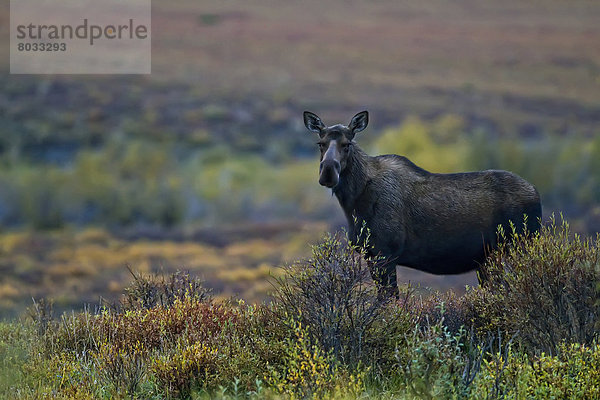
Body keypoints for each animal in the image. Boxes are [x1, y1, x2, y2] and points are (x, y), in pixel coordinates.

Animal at [302, 109, 540, 296]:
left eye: (347, 144)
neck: (353, 203)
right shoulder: (371, 254)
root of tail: (536, 193)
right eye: (320, 143)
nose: (328, 172)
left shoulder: (386, 252)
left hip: (519, 246)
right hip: (488, 258)